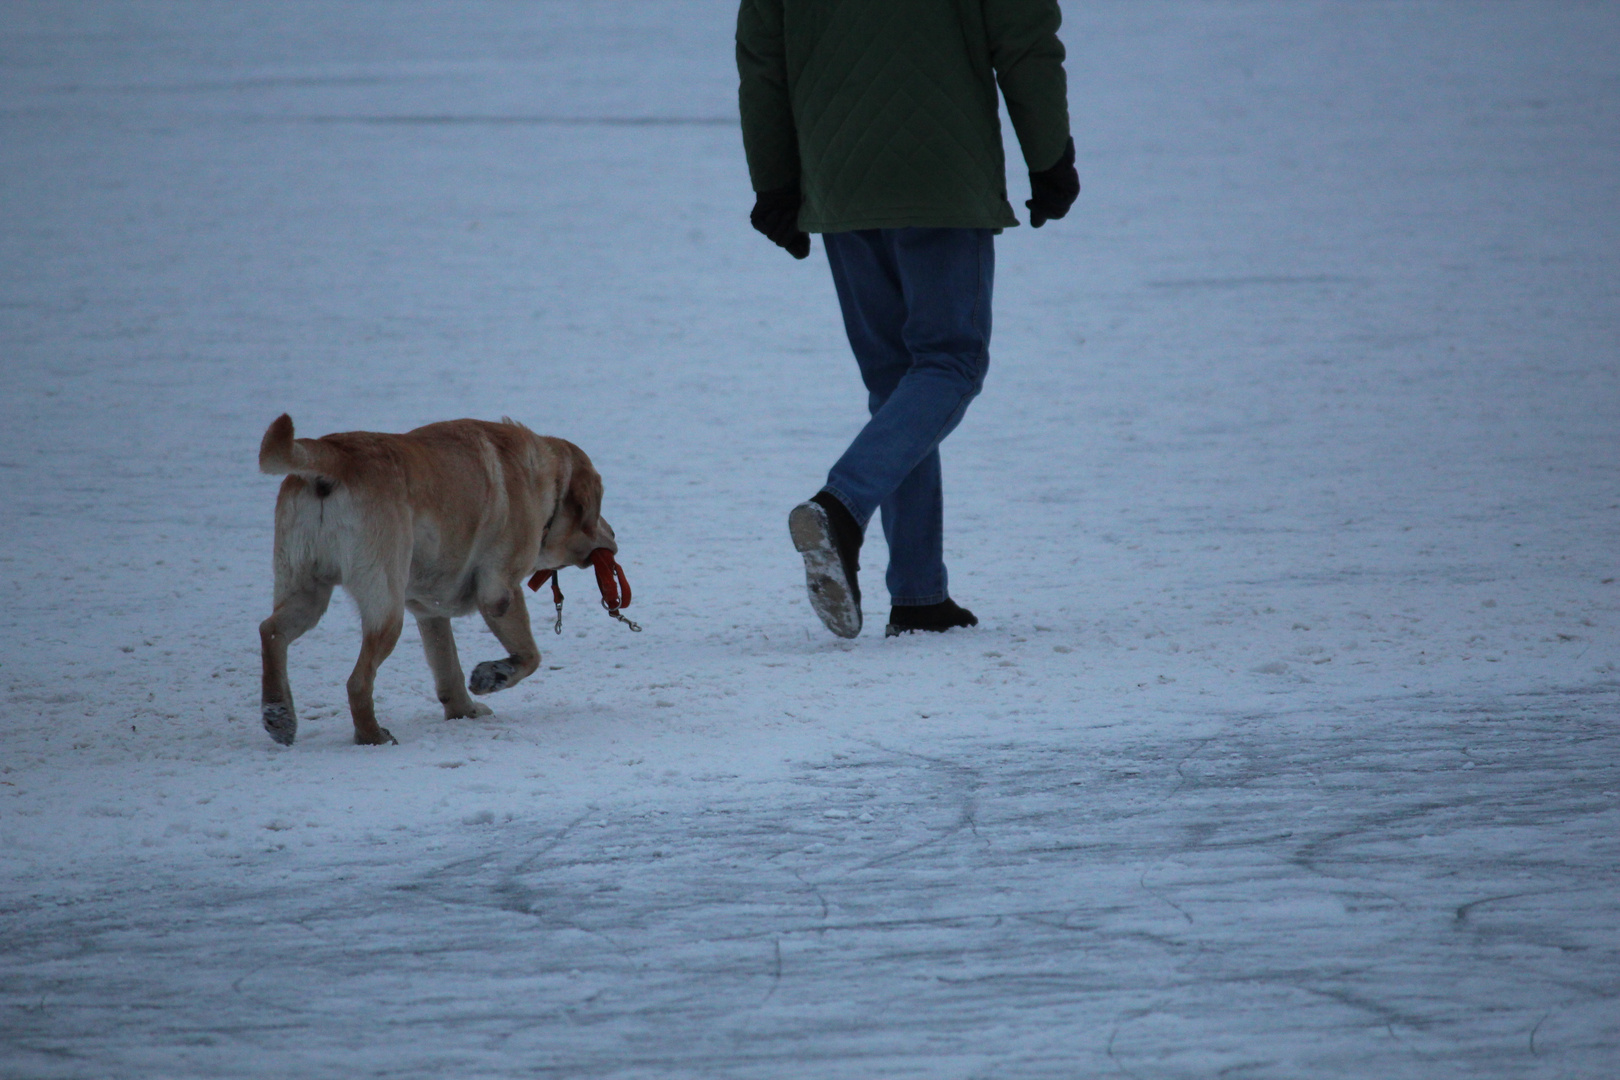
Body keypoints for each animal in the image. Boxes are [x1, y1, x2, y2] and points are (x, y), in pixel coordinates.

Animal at [259, 417, 618, 748]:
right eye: (598, 507)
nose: (614, 536)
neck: (546, 482)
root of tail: (332, 459)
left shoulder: (429, 610)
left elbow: (448, 669)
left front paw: (464, 711)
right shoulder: (499, 591)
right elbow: (530, 656)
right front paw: (492, 675)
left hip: (305, 589)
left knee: (271, 632)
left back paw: (279, 715)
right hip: (386, 607)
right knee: (357, 682)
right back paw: (371, 735)